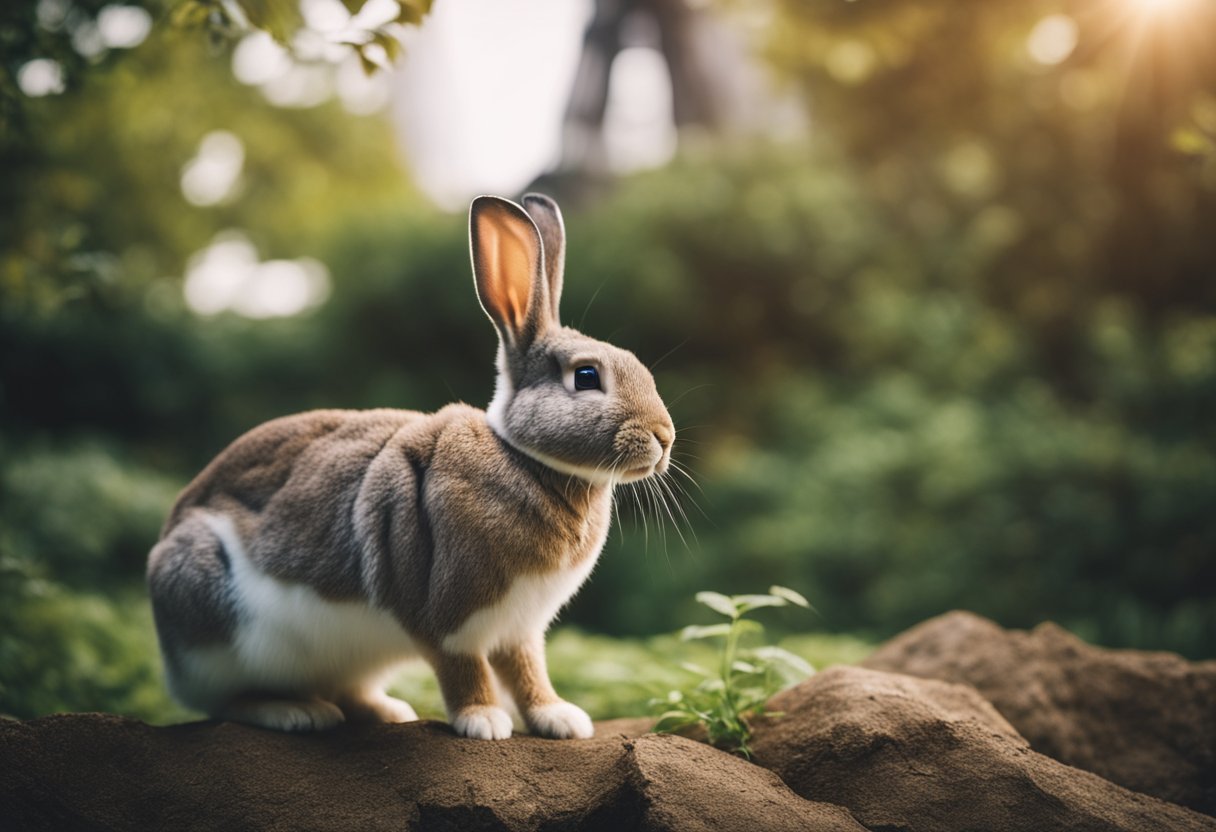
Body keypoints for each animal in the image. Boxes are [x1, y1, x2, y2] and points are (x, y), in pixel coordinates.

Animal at [147, 197, 676, 739]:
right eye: (586, 376)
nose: (664, 438)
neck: (525, 459)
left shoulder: (520, 628)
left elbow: (527, 672)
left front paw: (561, 719)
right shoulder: (447, 616)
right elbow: (462, 667)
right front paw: (483, 722)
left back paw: (386, 711)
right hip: (215, 618)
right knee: (226, 701)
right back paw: (293, 713)